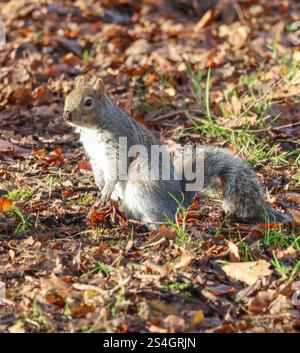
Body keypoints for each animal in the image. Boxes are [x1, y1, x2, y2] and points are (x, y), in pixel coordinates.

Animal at [63, 77, 292, 228]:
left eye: (88, 102)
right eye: (67, 96)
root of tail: (180, 202)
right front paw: (100, 187)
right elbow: (99, 171)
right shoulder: (94, 155)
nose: (67, 115)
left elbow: (116, 170)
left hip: (143, 191)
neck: (95, 128)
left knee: (162, 220)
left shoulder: (119, 144)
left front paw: (104, 192)